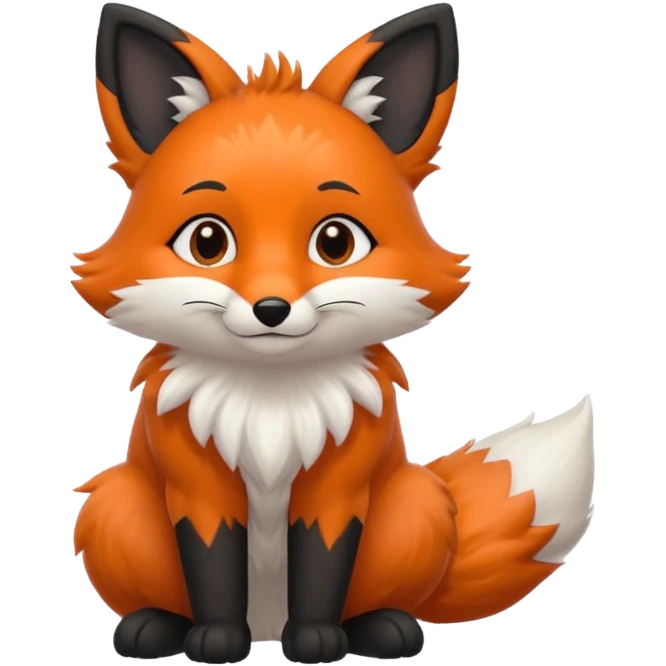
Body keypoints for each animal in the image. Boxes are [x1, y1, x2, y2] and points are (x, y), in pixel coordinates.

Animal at [71, 2, 598, 664]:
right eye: (208, 242)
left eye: (335, 242)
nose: (271, 308)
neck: (270, 406)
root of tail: (266, 627)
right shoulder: (199, 488)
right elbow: (213, 566)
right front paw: (216, 641)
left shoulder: (338, 488)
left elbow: (322, 566)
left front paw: (318, 642)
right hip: (116, 504)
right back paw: (154, 626)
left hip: (416, 506)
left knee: (380, 598)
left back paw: (381, 628)